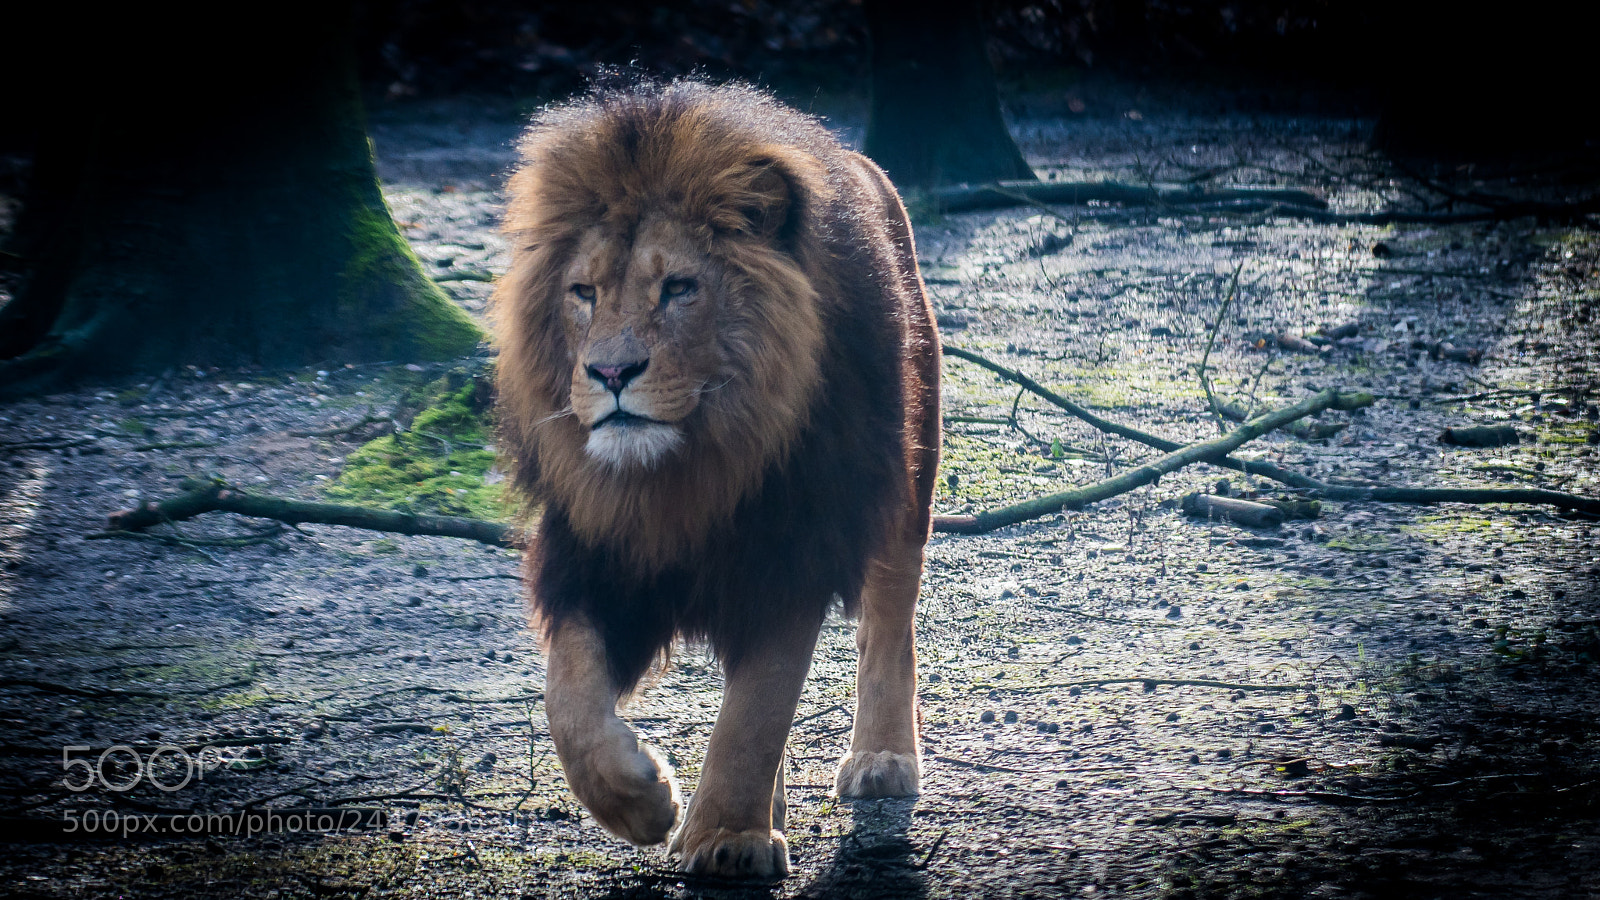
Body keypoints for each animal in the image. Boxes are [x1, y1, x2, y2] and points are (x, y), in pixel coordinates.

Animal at [491, 79, 940, 880]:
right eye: (583, 292)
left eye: (679, 288)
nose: (610, 372)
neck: (687, 470)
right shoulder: (594, 552)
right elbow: (567, 698)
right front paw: (642, 799)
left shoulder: (791, 546)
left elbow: (758, 707)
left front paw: (728, 838)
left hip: (904, 474)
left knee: (889, 619)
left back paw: (883, 759)